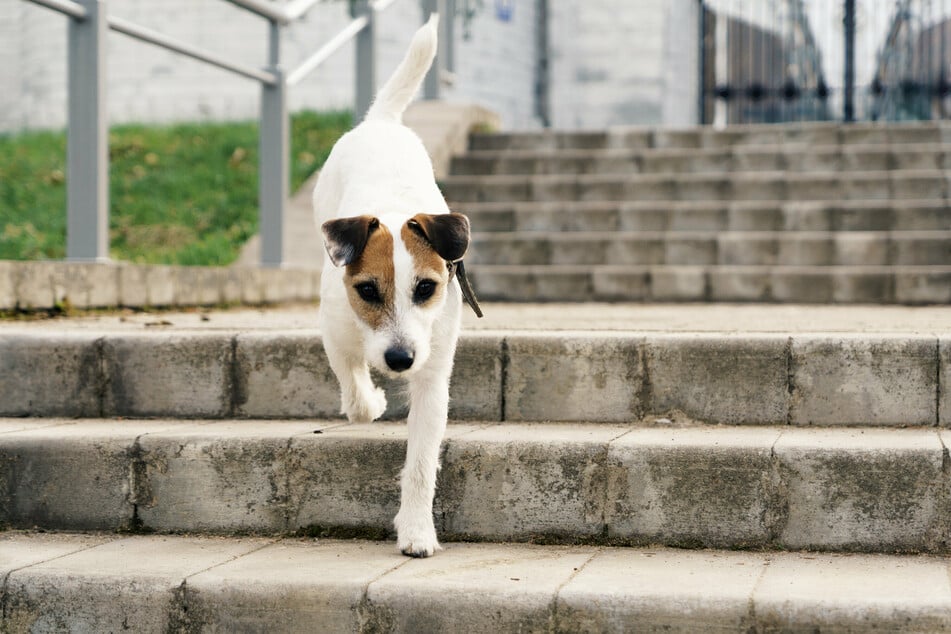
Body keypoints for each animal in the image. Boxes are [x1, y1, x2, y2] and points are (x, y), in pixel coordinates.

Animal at [312, 14, 480, 556]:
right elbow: (351, 377)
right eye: (367, 291)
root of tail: (381, 122)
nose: (400, 359)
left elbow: (422, 460)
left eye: (426, 289)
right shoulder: (335, 328)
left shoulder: (433, 374)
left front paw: (417, 529)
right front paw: (369, 402)